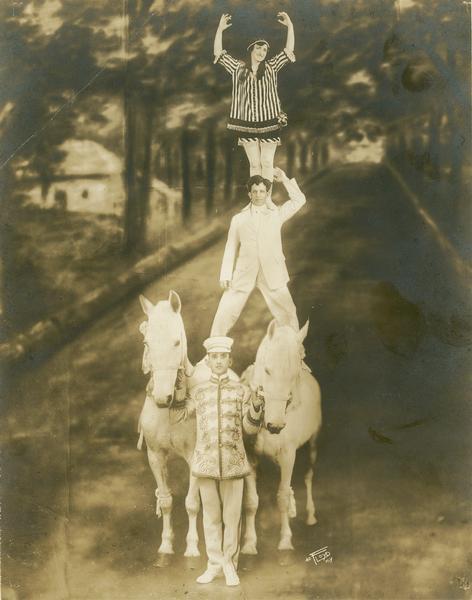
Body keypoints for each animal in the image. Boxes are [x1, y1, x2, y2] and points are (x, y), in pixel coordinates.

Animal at [242, 322, 322, 556]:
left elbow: (283, 497)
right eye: (267, 370)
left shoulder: (288, 456)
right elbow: (251, 501)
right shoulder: (249, 457)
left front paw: (285, 540)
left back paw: (311, 515)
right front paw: (249, 543)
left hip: (312, 445)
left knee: (308, 475)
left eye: (294, 374)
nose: (275, 425)